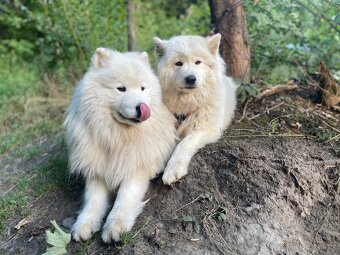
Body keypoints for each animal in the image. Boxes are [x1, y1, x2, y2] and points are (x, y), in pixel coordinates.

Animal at [63, 48, 177, 243]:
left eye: (143, 88)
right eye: (121, 88)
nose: (142, 107)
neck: (117, 137)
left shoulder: (136, 167)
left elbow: (125, 197)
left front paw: (115, 226)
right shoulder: (97, 168)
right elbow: (93, 200)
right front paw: (85, 224)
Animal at [154, 34, 236, 185]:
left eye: (198, 62)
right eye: (178, 63)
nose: (191, 79)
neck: (188, 102)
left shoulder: (205, 128)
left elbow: (185, 143)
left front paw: (173, 170)